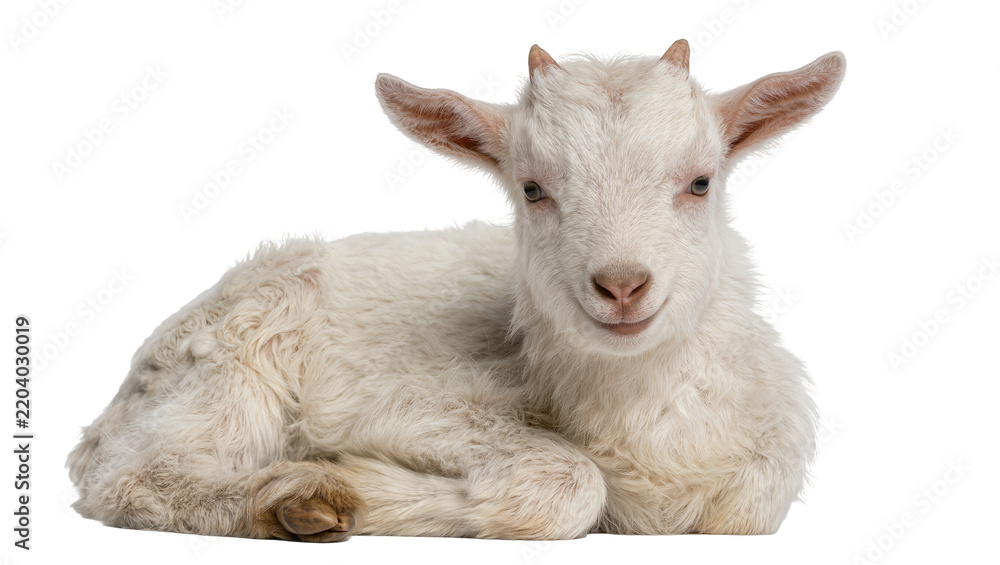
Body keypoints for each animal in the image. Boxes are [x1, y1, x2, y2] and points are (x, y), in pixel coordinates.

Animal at [68, 40, 845, 541]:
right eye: (532, 188)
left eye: (700, 181)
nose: (621, 285)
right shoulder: (403, 397)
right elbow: (570, 484)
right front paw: (351, 481)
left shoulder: (763, 484)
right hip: (230, 368)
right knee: (132, 479)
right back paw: (297, 501)